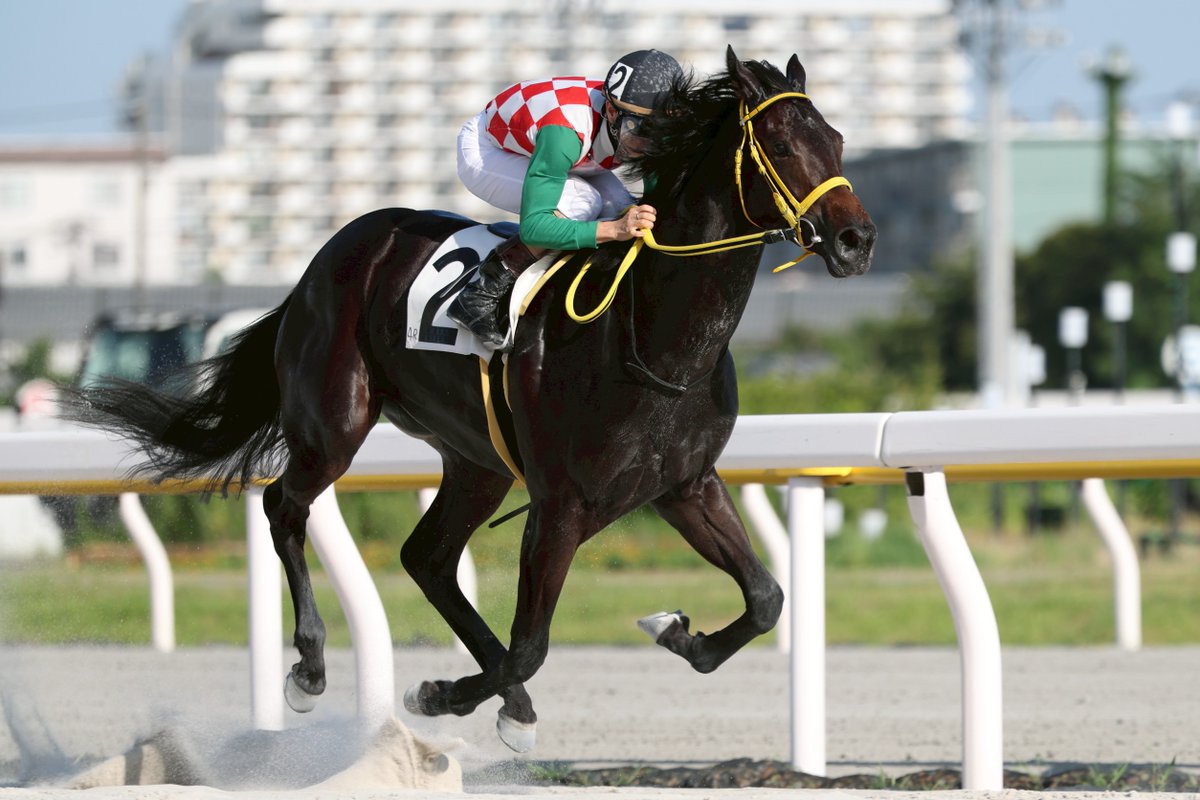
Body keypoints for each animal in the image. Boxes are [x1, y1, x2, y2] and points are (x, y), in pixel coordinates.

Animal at [66, 46, 875, 752]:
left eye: (835, 139)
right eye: (780, 141)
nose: (856, 240)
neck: (650, 334)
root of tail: (325, 260)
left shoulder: (685, 485)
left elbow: (766, 600)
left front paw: (677, 631)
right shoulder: (561, 506)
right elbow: (531, 645)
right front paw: (439, 694)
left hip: (475, 460)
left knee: (426, 556)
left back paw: (504, 703)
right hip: (334, 423)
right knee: (286, 508)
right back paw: (311, 668)